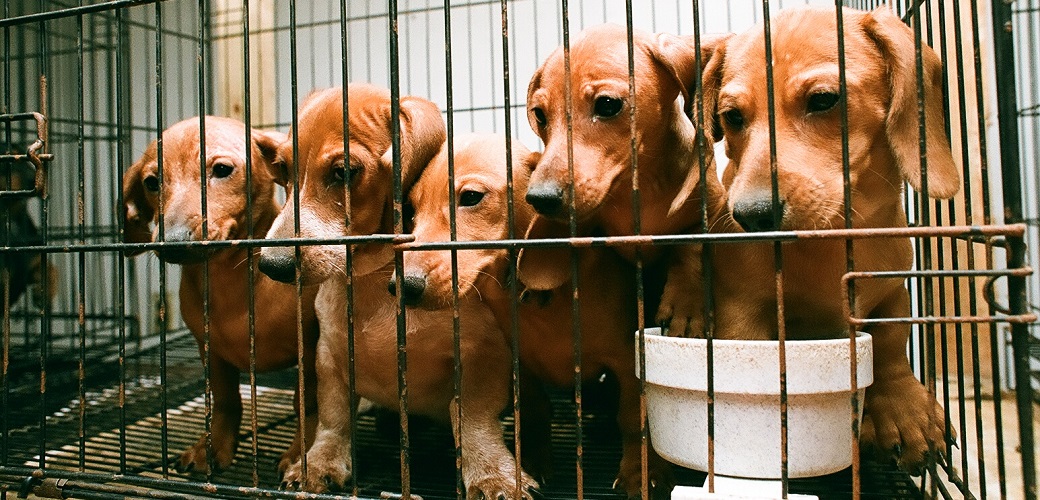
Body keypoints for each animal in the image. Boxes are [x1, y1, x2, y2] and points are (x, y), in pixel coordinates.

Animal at [122, 114, 318, 474]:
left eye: (222, 169)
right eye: (152, 182)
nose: (171, 241)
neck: (230, 278)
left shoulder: (310, 349)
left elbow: (308, 404)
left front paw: (304, 454)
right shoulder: (210, 352)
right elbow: (226, 401)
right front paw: (212, 448)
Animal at [258, 83, 536, 496]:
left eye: (343, 172)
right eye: (285, 170)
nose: (271, 266)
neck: (376, 278)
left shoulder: (482, 355)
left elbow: (471, 418)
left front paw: (493, 473)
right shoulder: (330, 357)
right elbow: (333, 417)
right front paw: (319, 461)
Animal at [397, 134, 673, 496]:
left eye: (470, 197)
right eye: (412, 210)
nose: (403, 285)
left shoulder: (628, 362)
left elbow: (633, 418)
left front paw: (642, 473)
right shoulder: (518, 363)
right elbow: (534, 410)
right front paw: (531, 460)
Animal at [694, 5, 960, 469]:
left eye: (822, 100)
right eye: (733, 117)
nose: (749, 216)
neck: (830, 241)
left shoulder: (893, 293)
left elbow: (891, 345)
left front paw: (905, 409)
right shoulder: (740, 313)